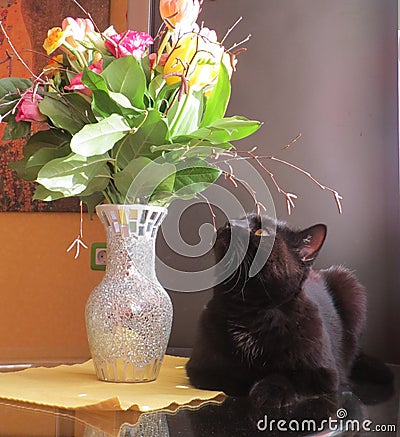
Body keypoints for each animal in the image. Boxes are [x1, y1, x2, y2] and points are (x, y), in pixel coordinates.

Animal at [186, 215, 392, 408]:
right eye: (241, 217)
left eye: (261, 232)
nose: (230, 223)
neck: (248, 309)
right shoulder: (200, 368)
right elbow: (233, 373)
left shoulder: (326, 374)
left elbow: (292, 376)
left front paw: (270, 390)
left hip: (349, 284)